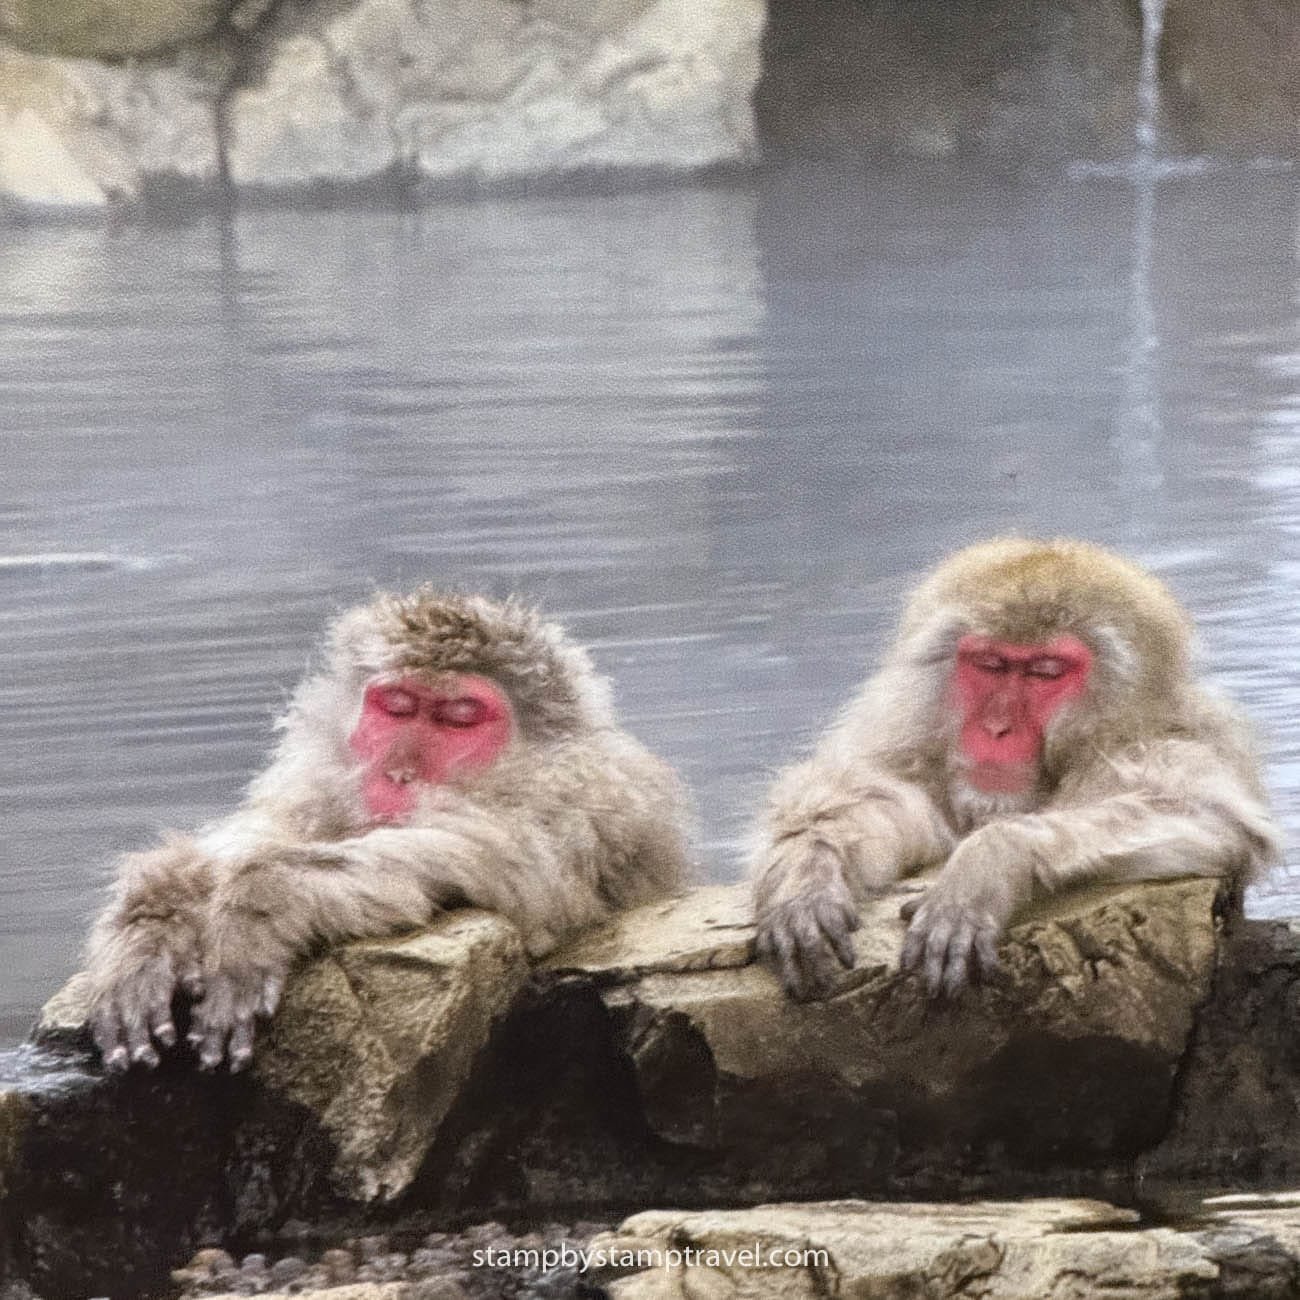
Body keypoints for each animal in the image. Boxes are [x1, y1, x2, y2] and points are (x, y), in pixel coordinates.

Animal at [84, 590, 690, 1072]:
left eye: (460, 718)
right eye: (397, 707)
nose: (400, 773)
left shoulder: (583, 802)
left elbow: (520, 872)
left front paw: (264, 900)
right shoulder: (312, 788)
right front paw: (151, 926)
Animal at [752, 537, 1281, 1002]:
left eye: (1045, 672)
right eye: (989, 663)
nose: (997, 728)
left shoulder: (1180, 745)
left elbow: (1205, 815)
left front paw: (987, 862)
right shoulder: (910, 745)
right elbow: (874, 799)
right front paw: (806, 876)